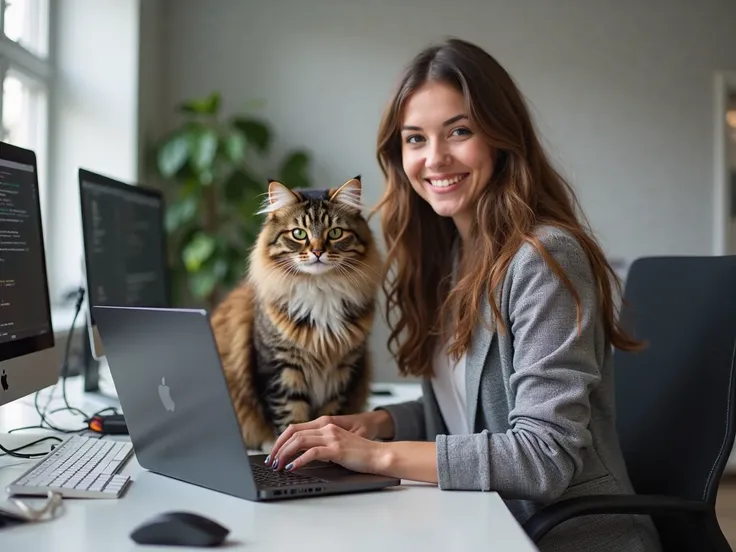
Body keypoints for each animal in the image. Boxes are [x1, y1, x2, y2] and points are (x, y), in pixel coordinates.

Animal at [211, 175, 386, 450]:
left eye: (335, 233)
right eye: (299, 233)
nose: (317, 251)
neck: (321, 291)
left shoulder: (343, 372)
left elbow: (330, 417)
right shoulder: (282, 369)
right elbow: (290, 419)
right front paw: (286, 448)